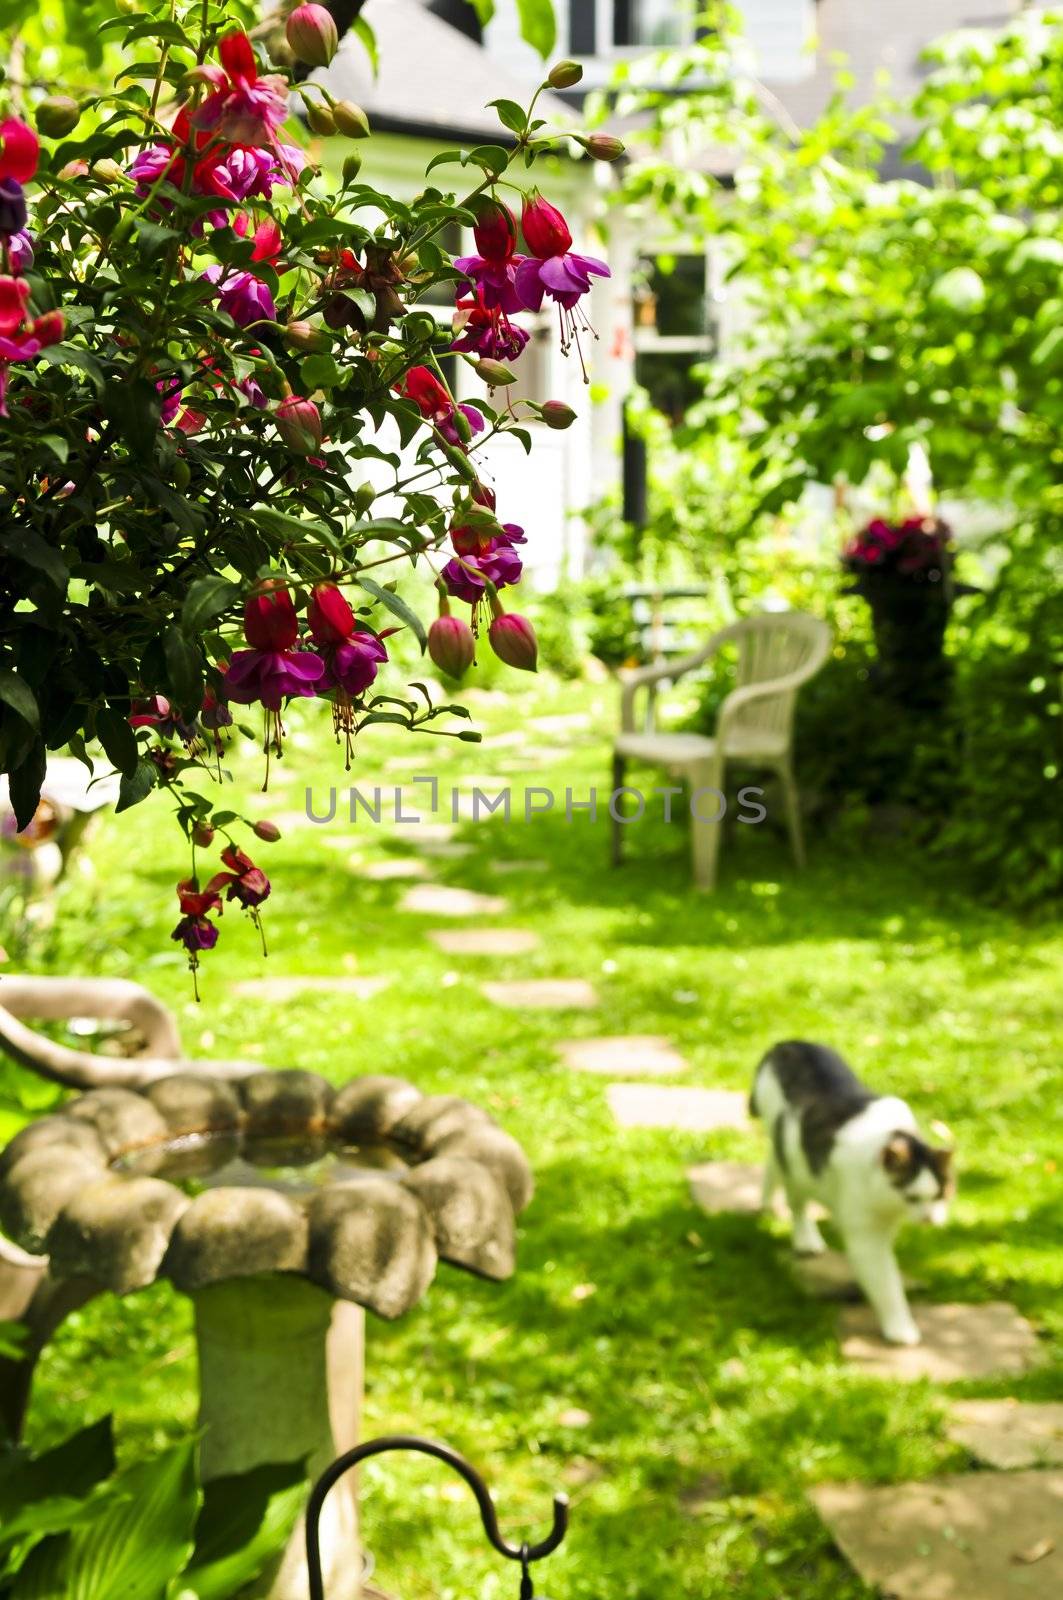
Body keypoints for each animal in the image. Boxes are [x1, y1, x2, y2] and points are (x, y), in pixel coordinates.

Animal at [746, 1043, 954, 1344]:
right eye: (912, 1197)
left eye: (939, 1196)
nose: (930, 1220)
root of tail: (784, 1045)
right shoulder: (867, 1238)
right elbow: (886, 1284)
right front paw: (900, 1328)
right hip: (793, 1163)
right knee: (796, 1204)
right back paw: (806, 1240)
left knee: (771, 1161)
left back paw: (766, 1203)